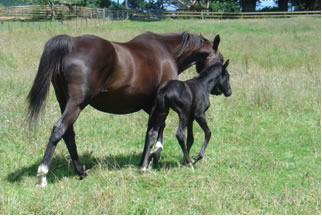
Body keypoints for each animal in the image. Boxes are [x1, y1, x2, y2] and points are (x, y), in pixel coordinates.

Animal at [27, 31, 224, 186]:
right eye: (220, 60)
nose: (221, 88)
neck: (167, 51)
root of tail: (71, 44)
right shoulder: (160, 105)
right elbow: (155, 131)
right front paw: (151, 158)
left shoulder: (151, 105)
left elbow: (155, 129)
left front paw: (149, 158)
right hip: (76, 104)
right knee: (59, 129)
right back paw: (42, 175)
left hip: (64, 102)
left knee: (68, 134)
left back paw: (81, 171)